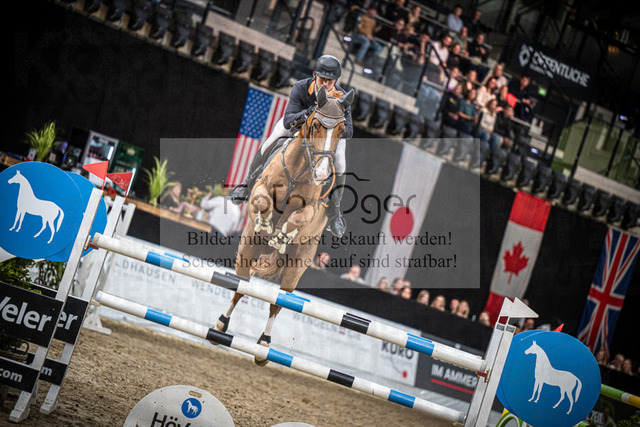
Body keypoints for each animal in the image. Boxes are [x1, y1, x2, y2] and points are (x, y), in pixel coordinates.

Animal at [216, 86, 354, 365]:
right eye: (315, 124)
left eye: (341, 129)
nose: (321, 174)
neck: (300, 169)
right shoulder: (262, 187)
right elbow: (262, 200)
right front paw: (267, 224)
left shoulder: (310, 209)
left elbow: (298, 218)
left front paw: (281, 235)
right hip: (247, 250)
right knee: (240, 287)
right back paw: (221, 324)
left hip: (296, 266)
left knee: (277, 302)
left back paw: (263, 345)